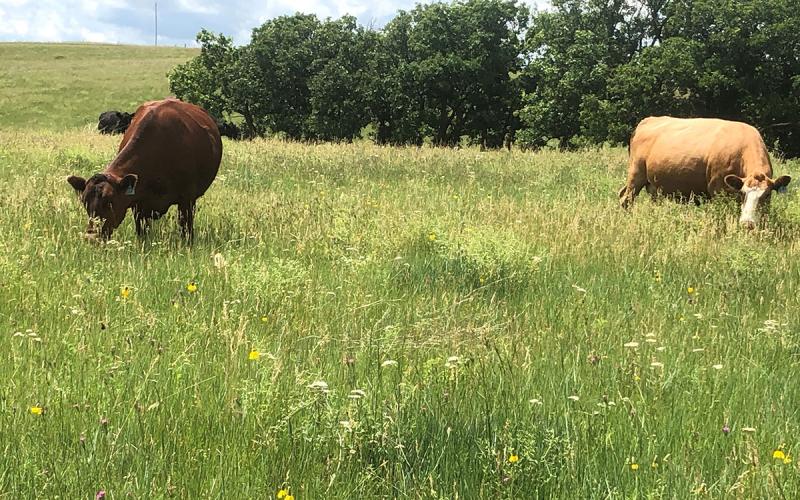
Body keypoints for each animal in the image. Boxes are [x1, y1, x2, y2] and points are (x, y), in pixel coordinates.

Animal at [68, 98, 222, 241]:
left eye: (109, 202)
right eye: (84, 202)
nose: (91, 237)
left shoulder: (187, 199)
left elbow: (186, 230)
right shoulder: (138, 204)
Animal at [619, 116, 791, 228]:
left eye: (766, 195)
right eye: (742, 193)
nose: (747, 223)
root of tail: (647, 120)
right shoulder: (718, 189)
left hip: (654, 185)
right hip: (636, 173)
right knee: (626, 198)